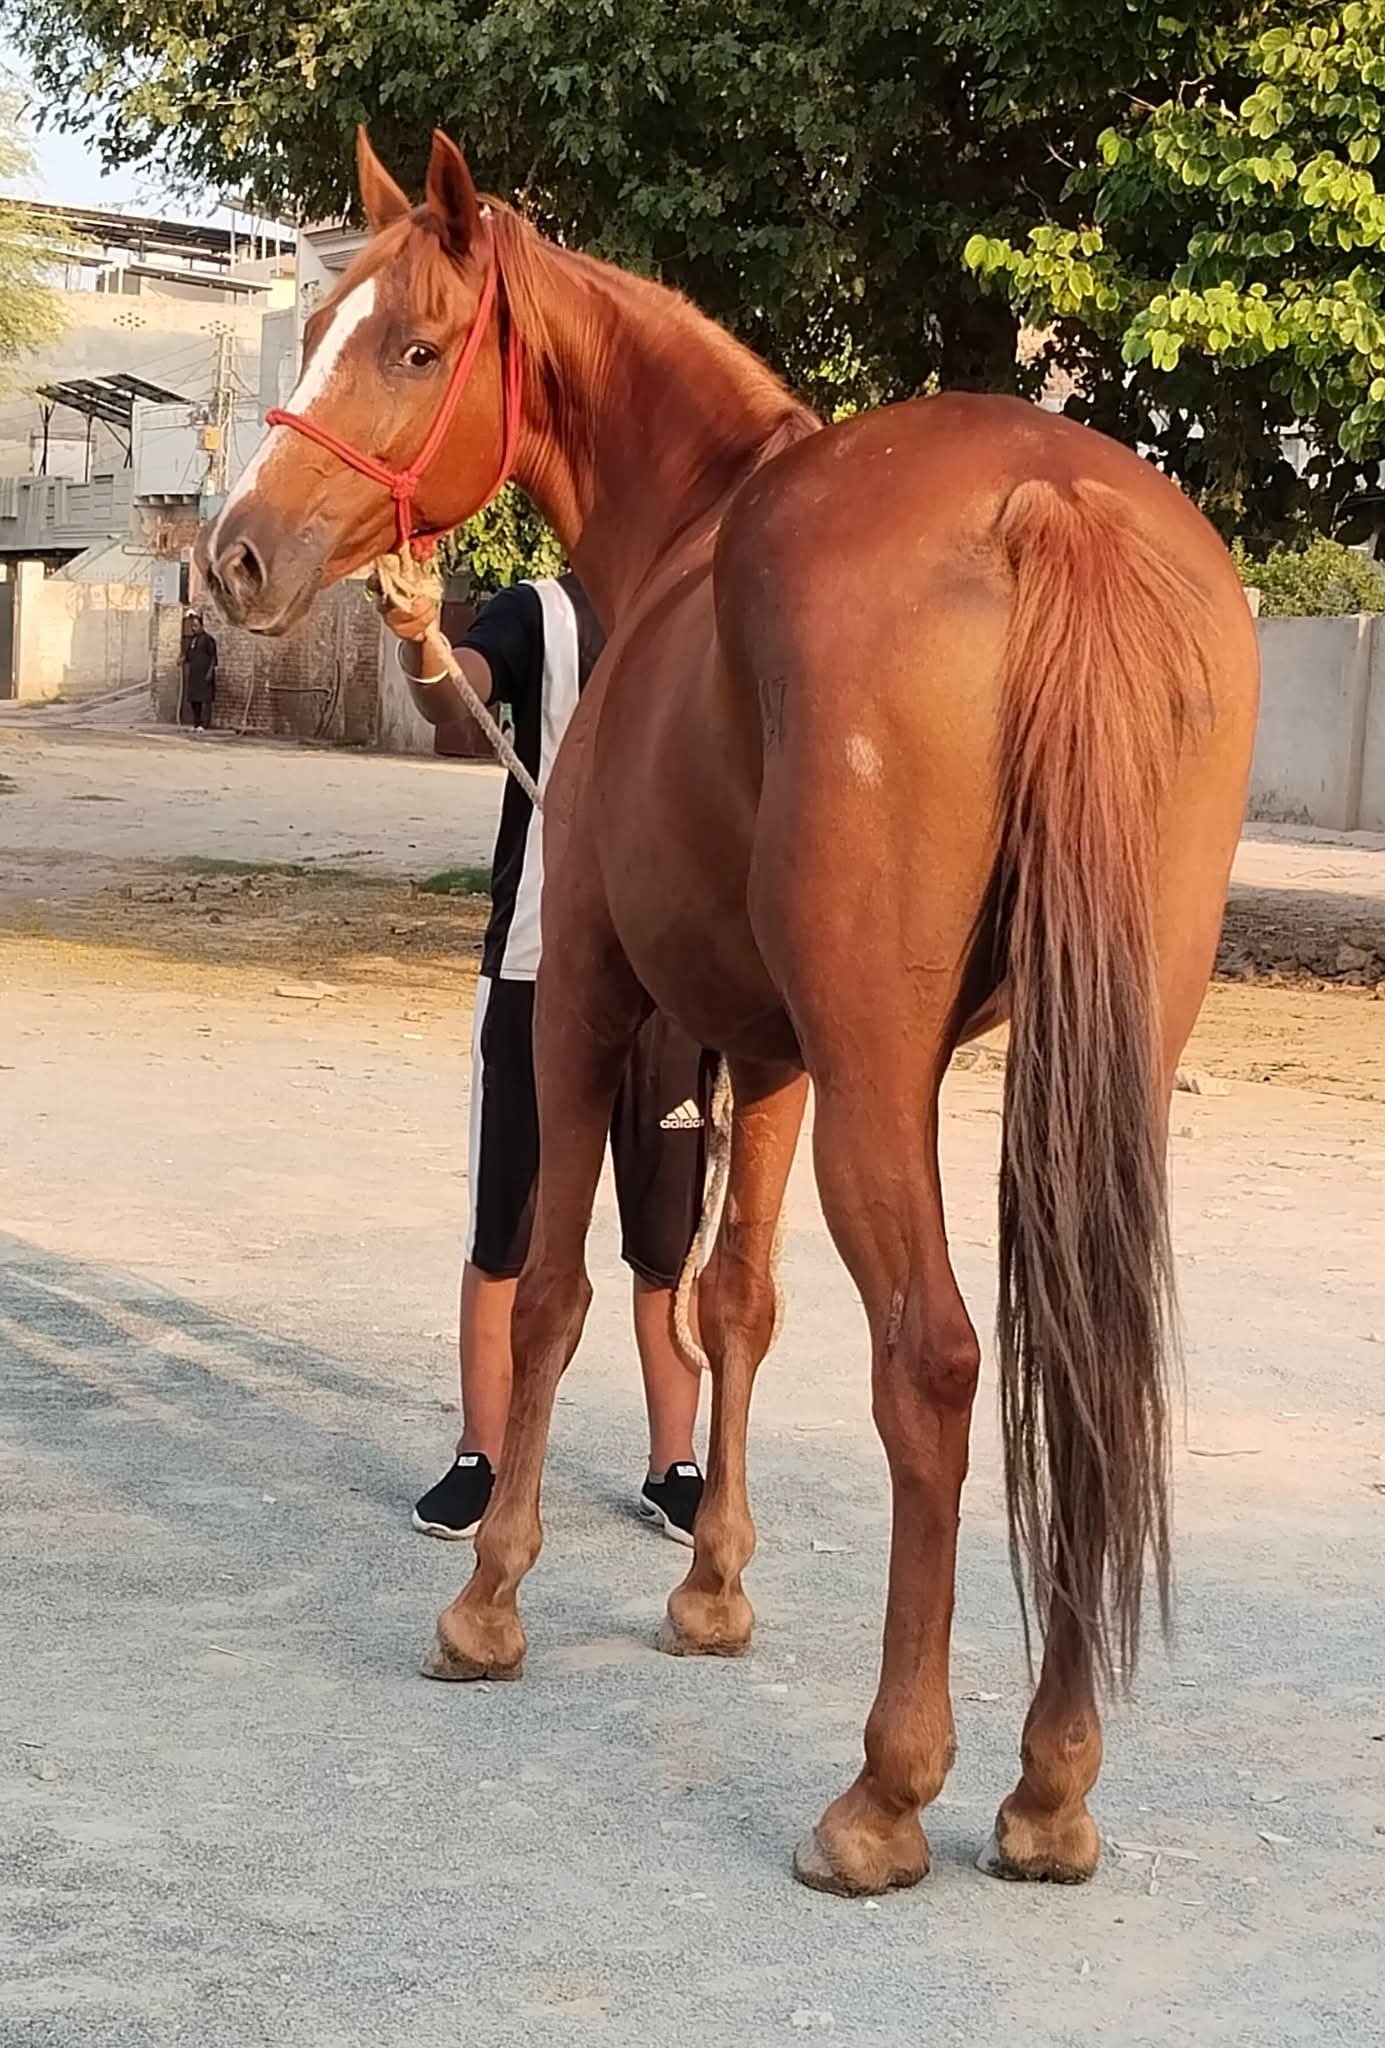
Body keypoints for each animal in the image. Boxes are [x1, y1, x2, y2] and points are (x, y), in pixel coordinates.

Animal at [197, 128, 1259, 1898]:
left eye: (413, 347)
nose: (237, 556)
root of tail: (1052, 501)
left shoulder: (590, 1007)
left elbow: (554, 1300)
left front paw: (489, 1602)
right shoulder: (766, 1059)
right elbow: (733, 1303)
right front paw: (712, 1591)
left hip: (884, 1075)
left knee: (935, 1363)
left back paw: (887, 1792)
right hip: (1093, 1061)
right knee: (1077, 1374)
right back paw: (1048, 1792)